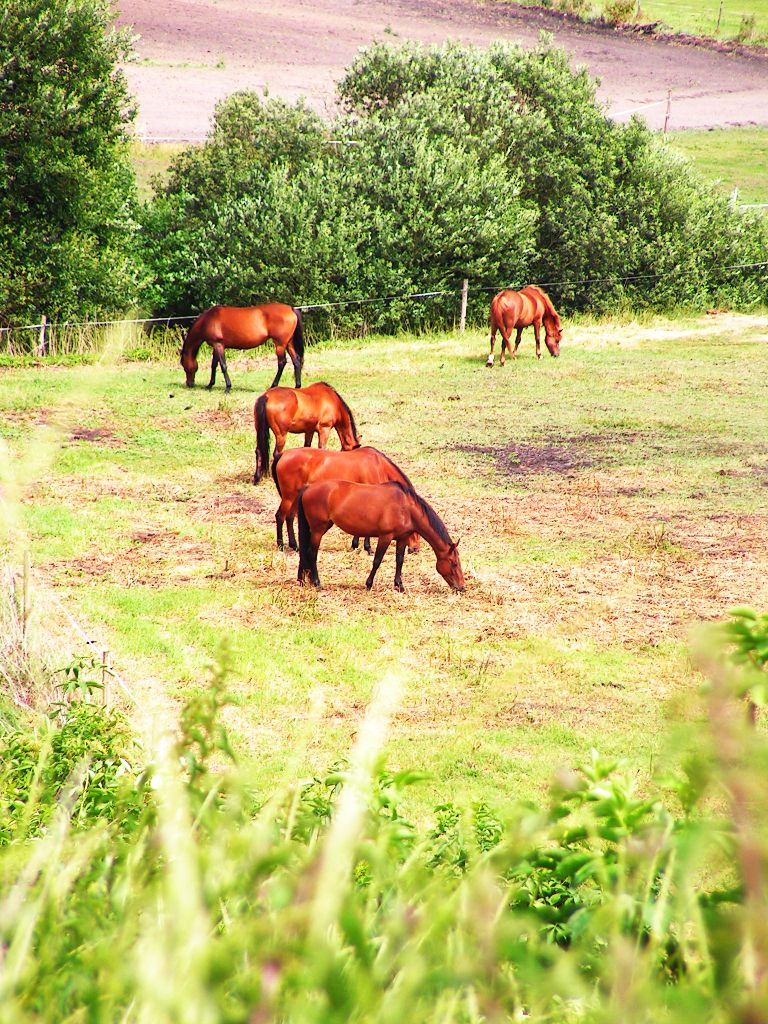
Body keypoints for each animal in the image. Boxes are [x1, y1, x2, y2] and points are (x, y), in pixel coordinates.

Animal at [274, 446, 423, 557]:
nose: (416, 549)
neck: (378, 465)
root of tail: (283, 454)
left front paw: (356, 544)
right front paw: (368, 548)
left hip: (295, 498)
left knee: (289, 517)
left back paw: (294, 545)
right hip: (289, 497)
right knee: (280, 516)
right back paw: (281, 545)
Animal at [294, 479, 462, 593]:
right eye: (454, 563)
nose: (462, 587)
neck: (406, 508)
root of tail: (308, 488)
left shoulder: (402, 539)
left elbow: (399, 561)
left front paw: (399, 585)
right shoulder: (385, 537)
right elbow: (377, 560)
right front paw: (369, 584)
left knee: (305, 552)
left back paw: (303, 579)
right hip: (318, 529)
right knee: (311, 553)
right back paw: (317, 583)